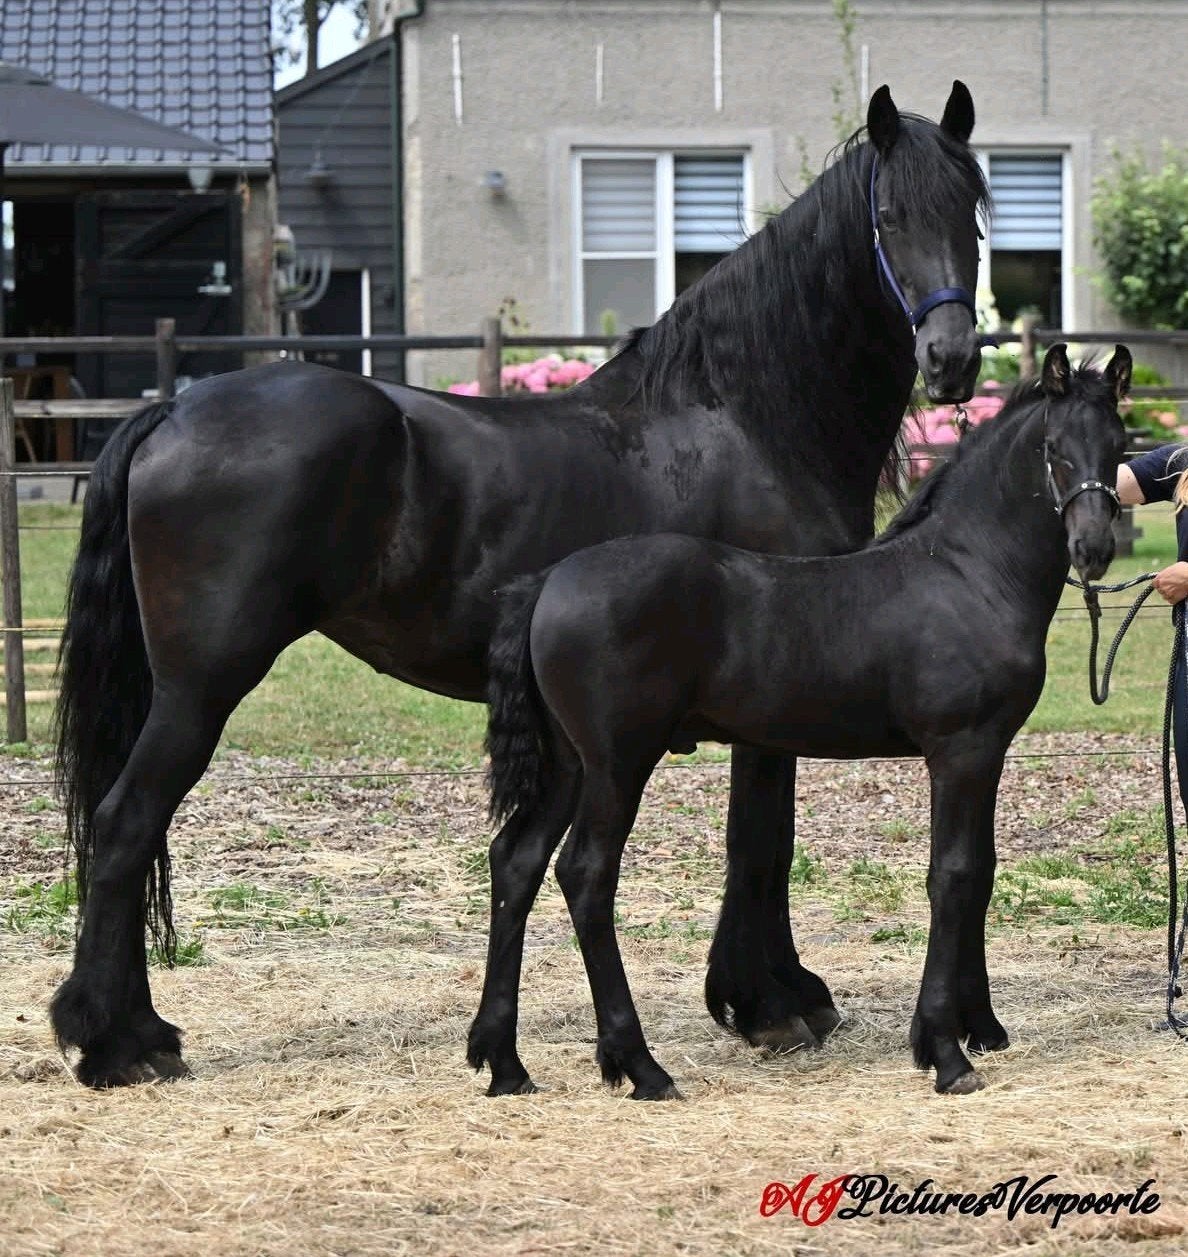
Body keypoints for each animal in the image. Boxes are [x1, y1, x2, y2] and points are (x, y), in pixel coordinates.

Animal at [50, 82, 986, 1088]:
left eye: (972, 211)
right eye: (888, 219)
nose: (953, 359)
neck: (745, 417)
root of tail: (173, 409)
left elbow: (759, 841)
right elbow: (761, 842)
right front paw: (772, 1000)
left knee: (127, 827)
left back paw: (137, 1029)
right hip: (201, 686)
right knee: (124, 823)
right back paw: (112, 1041)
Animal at [478, 343, 1132, 1099]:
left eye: (1119, 445)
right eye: (1054, 450)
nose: (1092, 549)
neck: (968, 573)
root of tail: (548, 581)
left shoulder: (990, 749)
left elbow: (984, 870)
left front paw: (979, 1027)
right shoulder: (960, 749)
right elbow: (954, 874)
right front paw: (945, 1051)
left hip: (568, 763)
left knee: (517, 861)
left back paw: (504, 1062)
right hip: (617, 761)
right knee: (586, 874)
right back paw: (640, 1066)